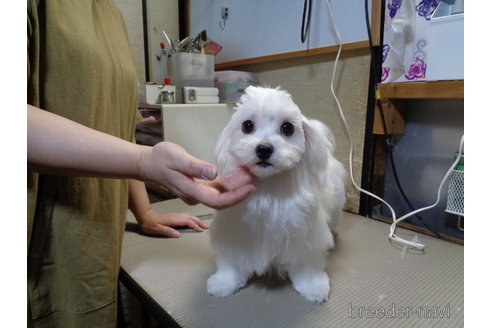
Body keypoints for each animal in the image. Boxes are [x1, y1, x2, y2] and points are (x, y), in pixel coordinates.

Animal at [207, 86, 346, 304]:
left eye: (288, 128)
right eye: (247, 125)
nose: (264, 149)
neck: (268, 186)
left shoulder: (304, 232)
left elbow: (307, 262)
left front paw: (313, 286)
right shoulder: (236, 228)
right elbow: (233, 259)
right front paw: (224, 282)